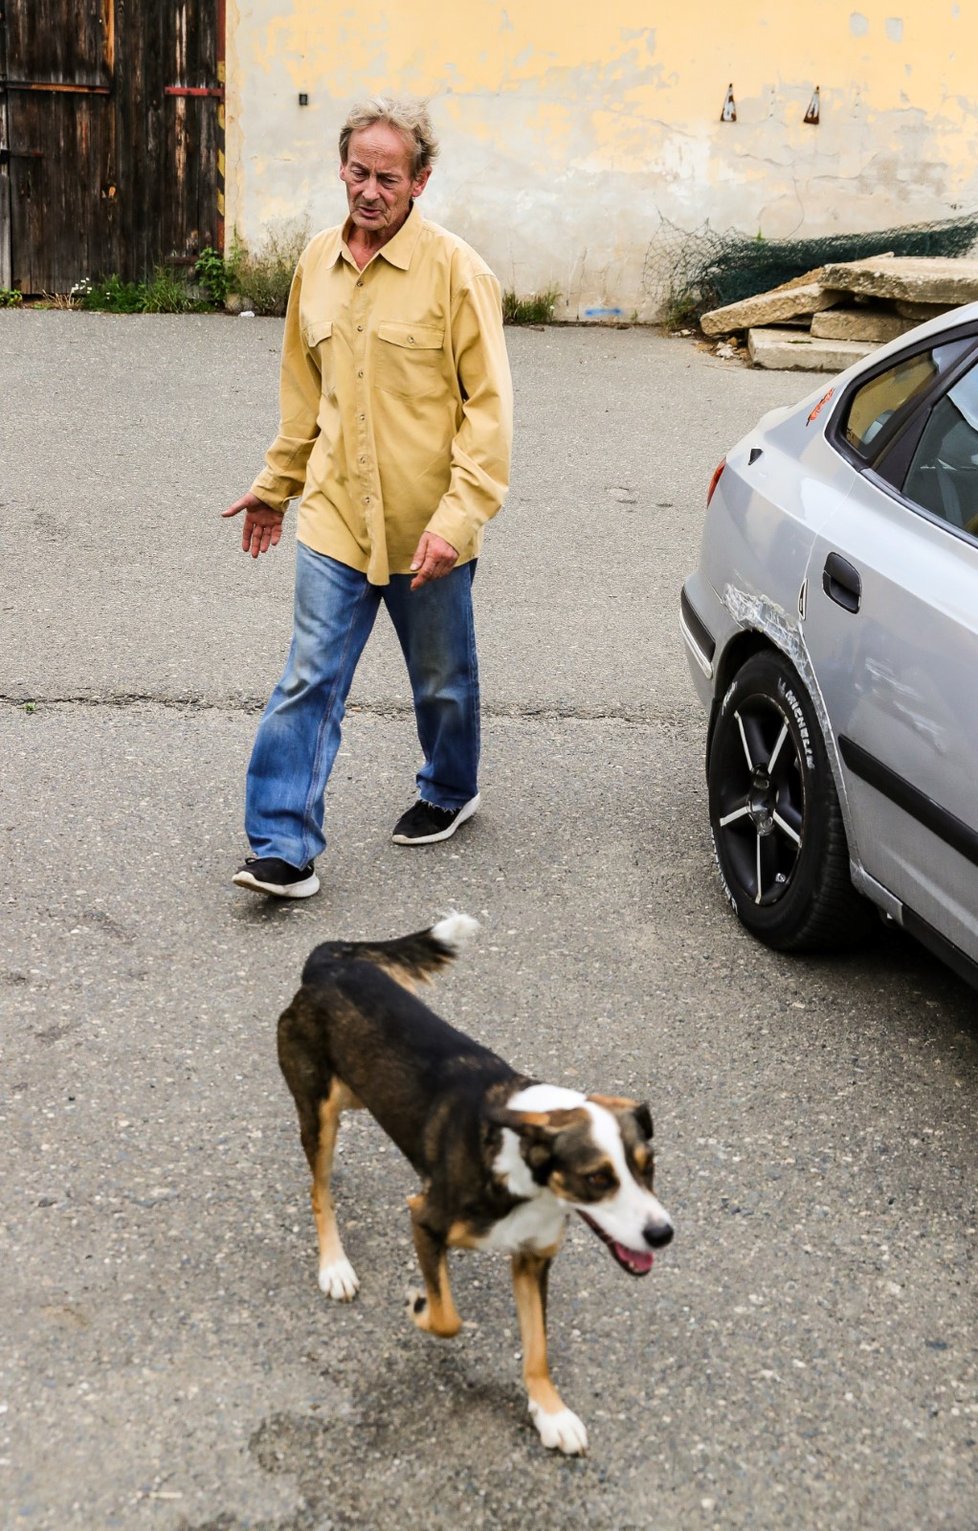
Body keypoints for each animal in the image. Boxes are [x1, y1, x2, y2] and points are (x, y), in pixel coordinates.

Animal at [275, 912, 673, 1451]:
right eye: (597, 1178)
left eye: (647, 1166)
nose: (663, 1234)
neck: (525, 1172)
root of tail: (328, 963)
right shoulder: (424, 1218)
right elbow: (448, 1318)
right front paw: (419, 1305)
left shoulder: (532, 1260)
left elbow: (538, 1349)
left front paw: (550, 1413)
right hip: (319, 1110)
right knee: (319, 1191)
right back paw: (334, 1265)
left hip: (357, 1095)